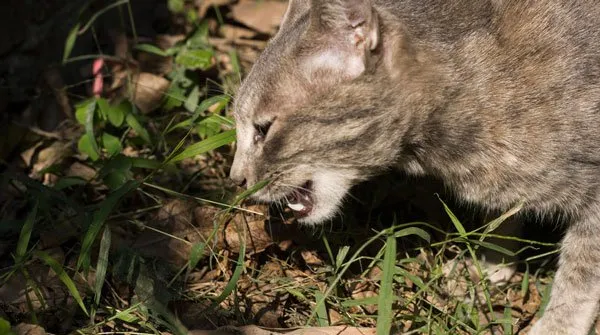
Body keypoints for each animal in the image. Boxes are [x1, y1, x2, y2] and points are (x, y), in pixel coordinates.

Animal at [230, 1, 600, 334]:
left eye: (263, 129)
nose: (236, 178)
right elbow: (503, 217)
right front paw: (490, 262)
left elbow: (580, 273)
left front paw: (557, 326)